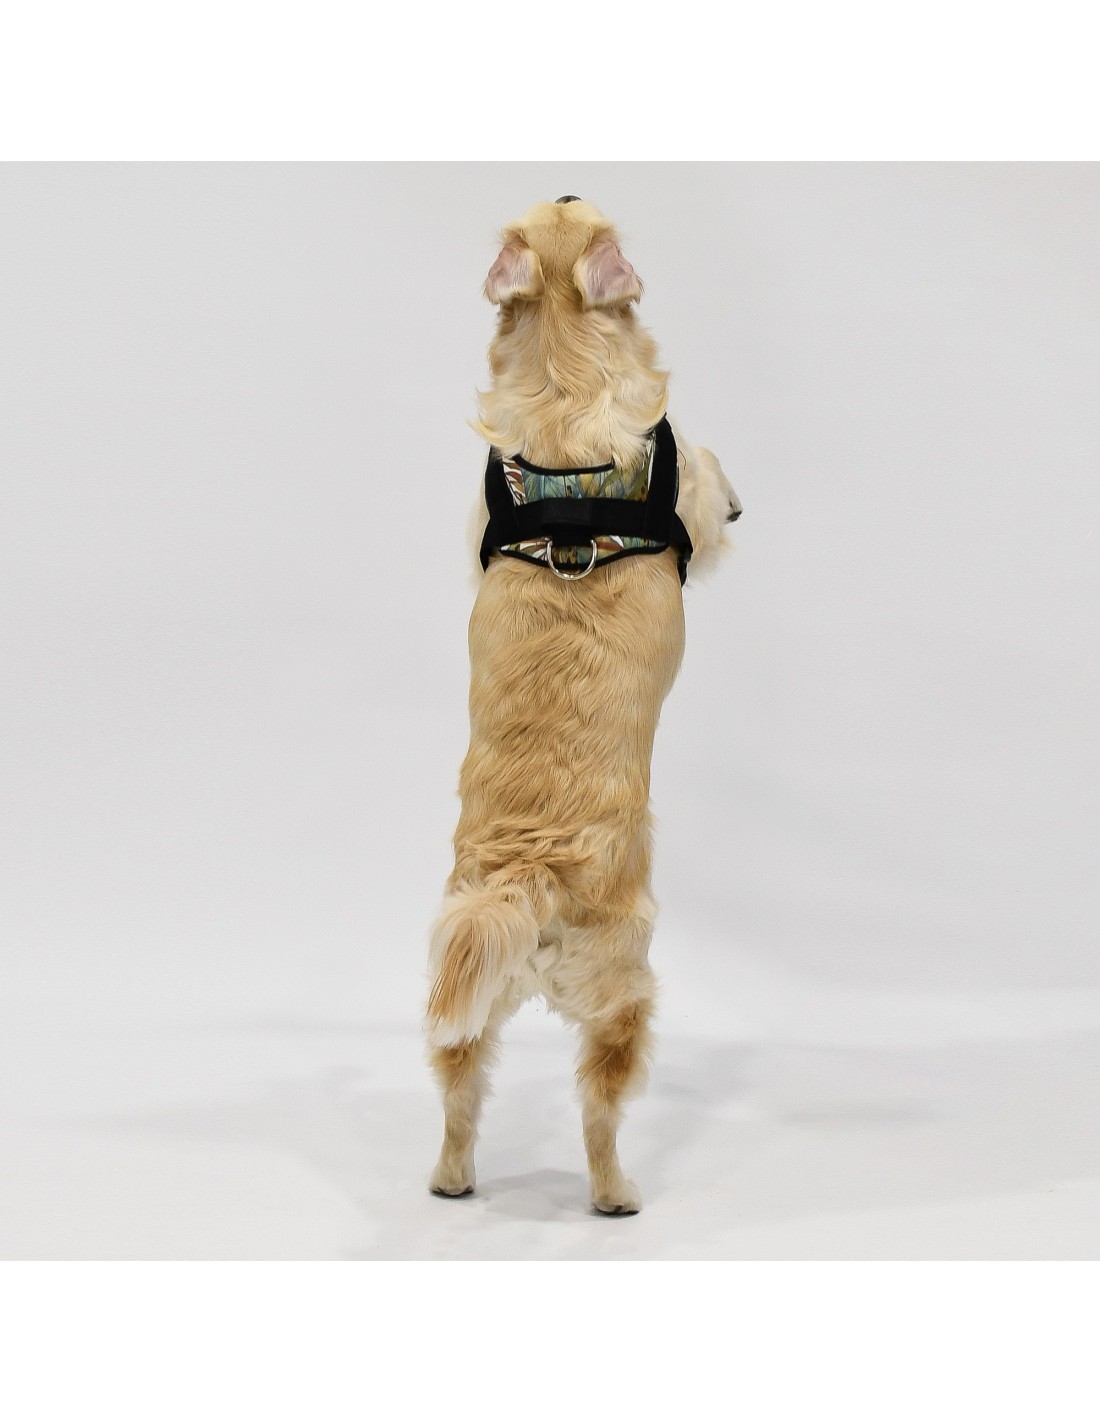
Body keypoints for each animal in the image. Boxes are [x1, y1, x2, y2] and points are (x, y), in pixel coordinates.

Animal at [425, 197, 739, 1215]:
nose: (568, 183)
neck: (563, 375)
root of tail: (528, 875)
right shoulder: (688, 467)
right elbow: (707, 480)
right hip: (625, 995)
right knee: (600, 1113)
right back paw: (616, 1193)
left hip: (463, 1002)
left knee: (458, 1097)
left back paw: (451, 1181)